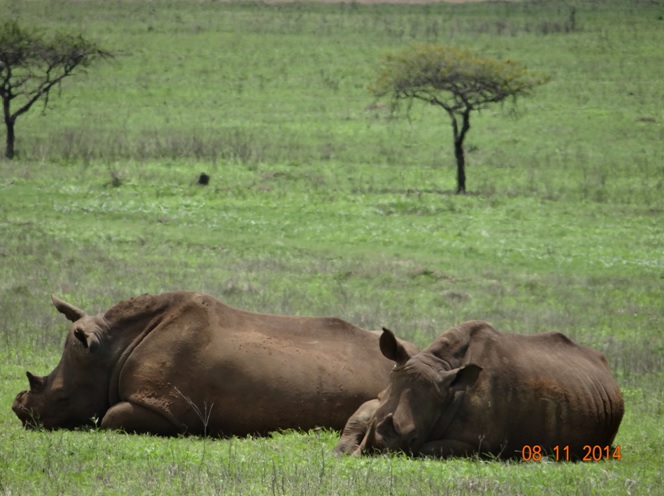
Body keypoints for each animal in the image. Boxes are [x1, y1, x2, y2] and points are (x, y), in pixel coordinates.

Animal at [334, 320, 624, 460]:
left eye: (413, 438)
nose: (372, 454)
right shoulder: (384, 393)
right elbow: (359, 416)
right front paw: (342, 450)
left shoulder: (480, 442)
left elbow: (427, 449)